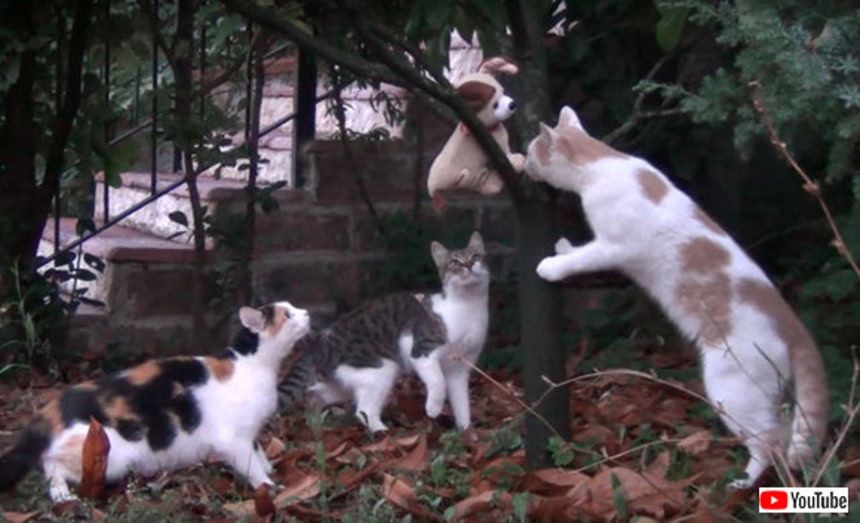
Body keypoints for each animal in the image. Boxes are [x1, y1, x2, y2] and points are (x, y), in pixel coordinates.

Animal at [0, 301, 310, 502]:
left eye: (293, 307)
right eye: (288, 314)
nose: (307, 312)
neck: (253, 364)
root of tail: (51, 410)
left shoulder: (250, 433)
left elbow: (258, 451)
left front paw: (270, 468)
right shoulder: (234, 439)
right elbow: (251, 465)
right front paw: (270, 487)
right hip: (106, 453)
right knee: (50, 465)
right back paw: (63, 496)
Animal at [278, 231, 490, 432]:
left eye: (476, 256)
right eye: (455, 262)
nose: (468, 265)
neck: (468, 307)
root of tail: (320, 341)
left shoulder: (460, 369)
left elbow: (461, 402)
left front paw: (466, 431)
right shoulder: (420, 350)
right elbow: (438, 381)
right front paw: (433, 408)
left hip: (346, 380)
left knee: (316, 393)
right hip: (380, 370)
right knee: (363, 410)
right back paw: (383, 432)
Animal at [524, 106, 829, 488]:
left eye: (531, 151)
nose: (522, 165)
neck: (604, 162)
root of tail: (791, 324)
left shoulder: (614, 247)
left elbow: (583, 258)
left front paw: (551, 265)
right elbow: (579, 249)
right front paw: (564, 246)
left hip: (733, 390)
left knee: (768, 441)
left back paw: (743, 482)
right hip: (773, 394)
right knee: (786, 433)